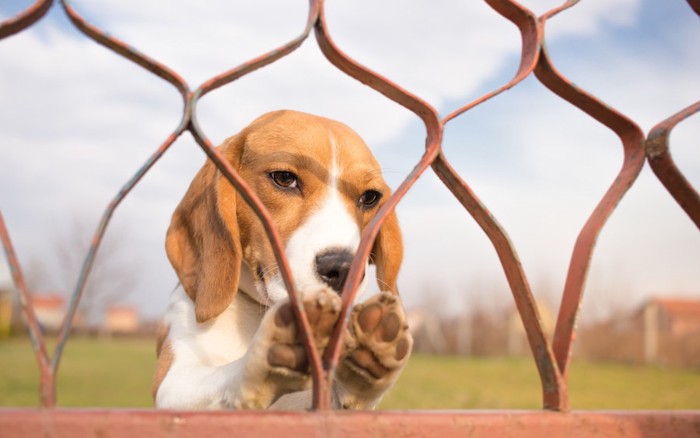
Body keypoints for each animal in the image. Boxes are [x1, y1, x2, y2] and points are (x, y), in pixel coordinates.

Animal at [154, 110, 410, 410]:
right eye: (284, 178)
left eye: (369, 197)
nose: (344, 268)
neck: (256, 314)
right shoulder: (172, 382)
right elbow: (220, 378)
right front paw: (263, 360)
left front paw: (366, 365)